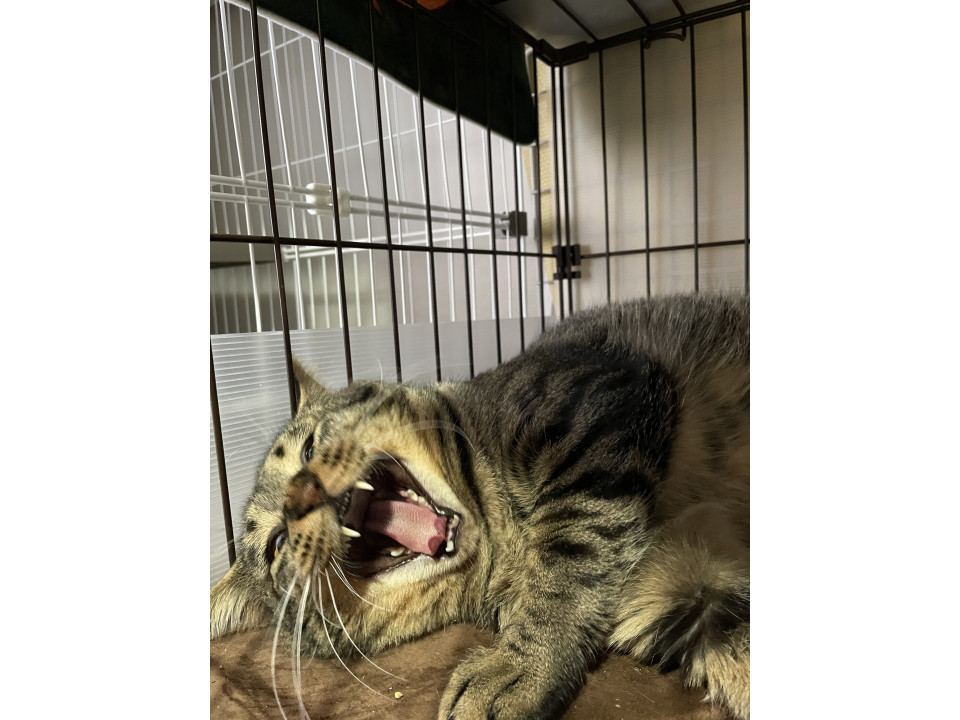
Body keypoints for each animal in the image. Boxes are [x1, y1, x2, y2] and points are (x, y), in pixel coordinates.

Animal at [211, 292, 750, 719]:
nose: (300, 495)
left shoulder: (594, 399)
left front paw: (518, 667)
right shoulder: (688, 596)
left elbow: (570, 550)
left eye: (308, 449)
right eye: (276, 545)